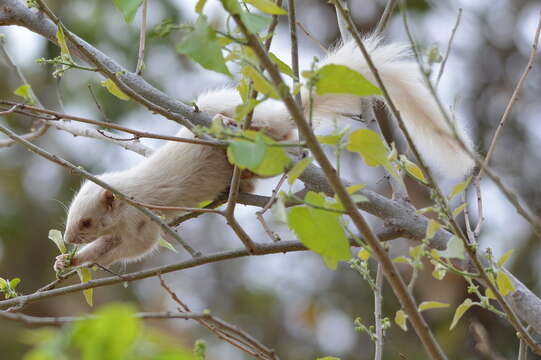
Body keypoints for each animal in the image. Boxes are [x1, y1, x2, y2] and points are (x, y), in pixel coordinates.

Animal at [53, 36, 472, 272]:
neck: (125, 196)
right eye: (70, 216)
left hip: (250, 123)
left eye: (86, 221)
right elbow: (110, 252)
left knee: (277, 133)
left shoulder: (141, 219)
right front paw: (67, 260)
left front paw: (75, 256)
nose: (69, 237)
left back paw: (234, 127)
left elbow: (137, 249)